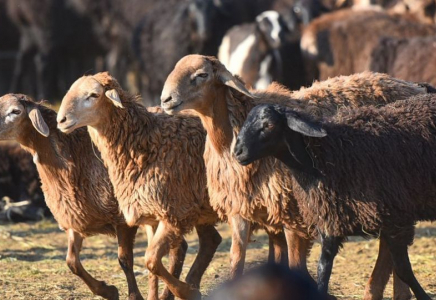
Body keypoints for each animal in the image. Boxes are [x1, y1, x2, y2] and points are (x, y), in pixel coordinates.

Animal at [55, 72, 221, 300]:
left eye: (94, 95)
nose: (61, 120)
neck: (147, 144)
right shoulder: (151, 214)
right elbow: (151, 265)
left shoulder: (172, 213)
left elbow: (151, 260)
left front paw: (186, 291)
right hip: (200, 207)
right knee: (211, 240)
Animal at [235, 94, 436, 300]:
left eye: (269, 125)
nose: (238, 151)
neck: (321, 158)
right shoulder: (331, 220)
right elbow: (323, 267)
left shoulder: (395, 221)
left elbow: (403, 269)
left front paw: (424, 297)